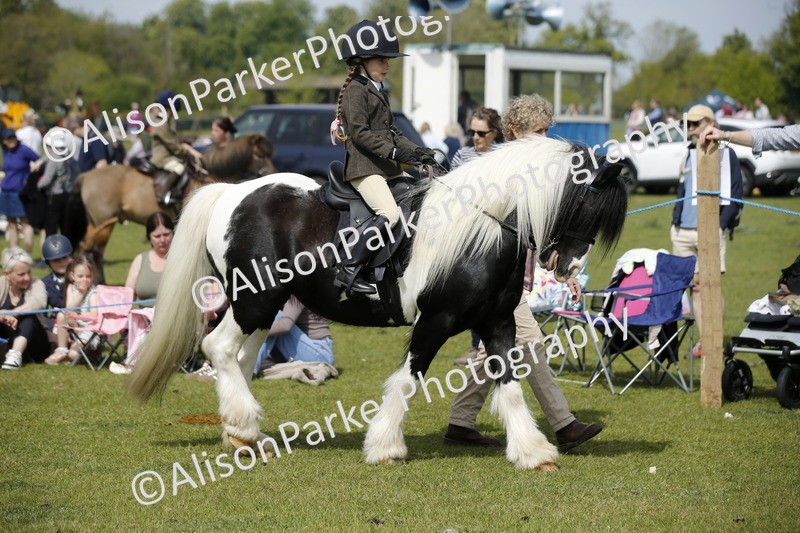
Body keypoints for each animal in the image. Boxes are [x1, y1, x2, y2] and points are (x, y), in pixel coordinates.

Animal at [127, 135, 628, 471]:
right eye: (589, 204)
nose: (566, 268)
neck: (482, 228)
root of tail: (230, 193)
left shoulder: (497, 322)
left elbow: (510, 384)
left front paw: (533, 452)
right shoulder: (437, 320)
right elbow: (407, 380)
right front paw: (385, 446)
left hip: (263, 305)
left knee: (239, 356)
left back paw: (243, 435)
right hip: (255, 299)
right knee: (219, 349)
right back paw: (244, 427)